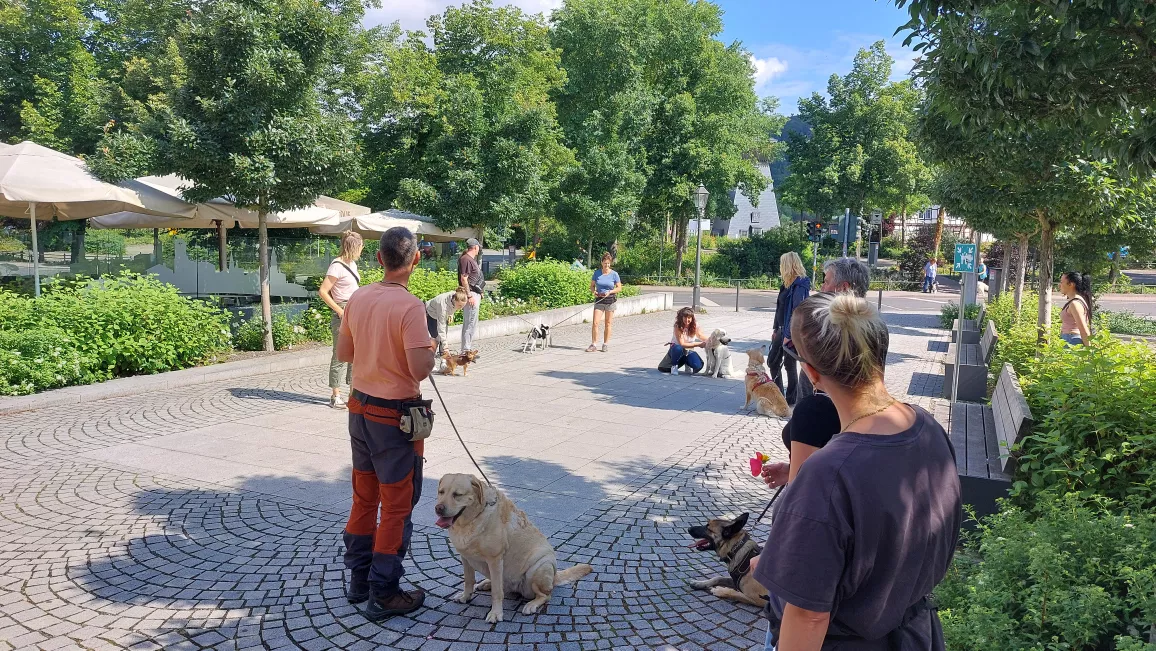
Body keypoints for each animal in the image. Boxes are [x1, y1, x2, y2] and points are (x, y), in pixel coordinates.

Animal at [434, 476, 596, 624]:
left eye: (457, 494)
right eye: (441, 492)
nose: (438, 508)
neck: (471, 520)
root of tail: (555, 576)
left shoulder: (495, 559)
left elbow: (497, 592)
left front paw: (496, 613)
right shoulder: (465, 557)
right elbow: (468, 580)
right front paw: (465, 597)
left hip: (539, 567)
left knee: (545, 595)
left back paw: (531, 604)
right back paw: (486, 583)